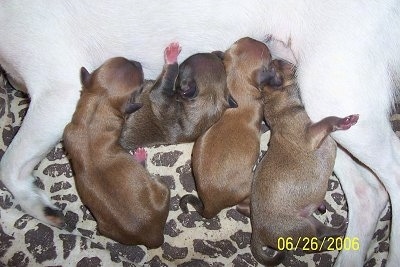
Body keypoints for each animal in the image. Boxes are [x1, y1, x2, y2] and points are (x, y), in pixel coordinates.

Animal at [63, 55, 170, 248]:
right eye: (140, 86)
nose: (137, 62)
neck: (97, 106)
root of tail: (153, 237)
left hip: (106, 229)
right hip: (163, 187)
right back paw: (140, 158)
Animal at [250, 59, 360, 266]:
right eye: (279, 63)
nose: (287, 60)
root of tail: (257, 232)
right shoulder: (310, 135)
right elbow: (327, 120)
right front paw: (343, 121)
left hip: (309, 221)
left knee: (323, 232)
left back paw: (340, 229)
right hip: (302, 228)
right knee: (315, 246)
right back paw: (336, 242)